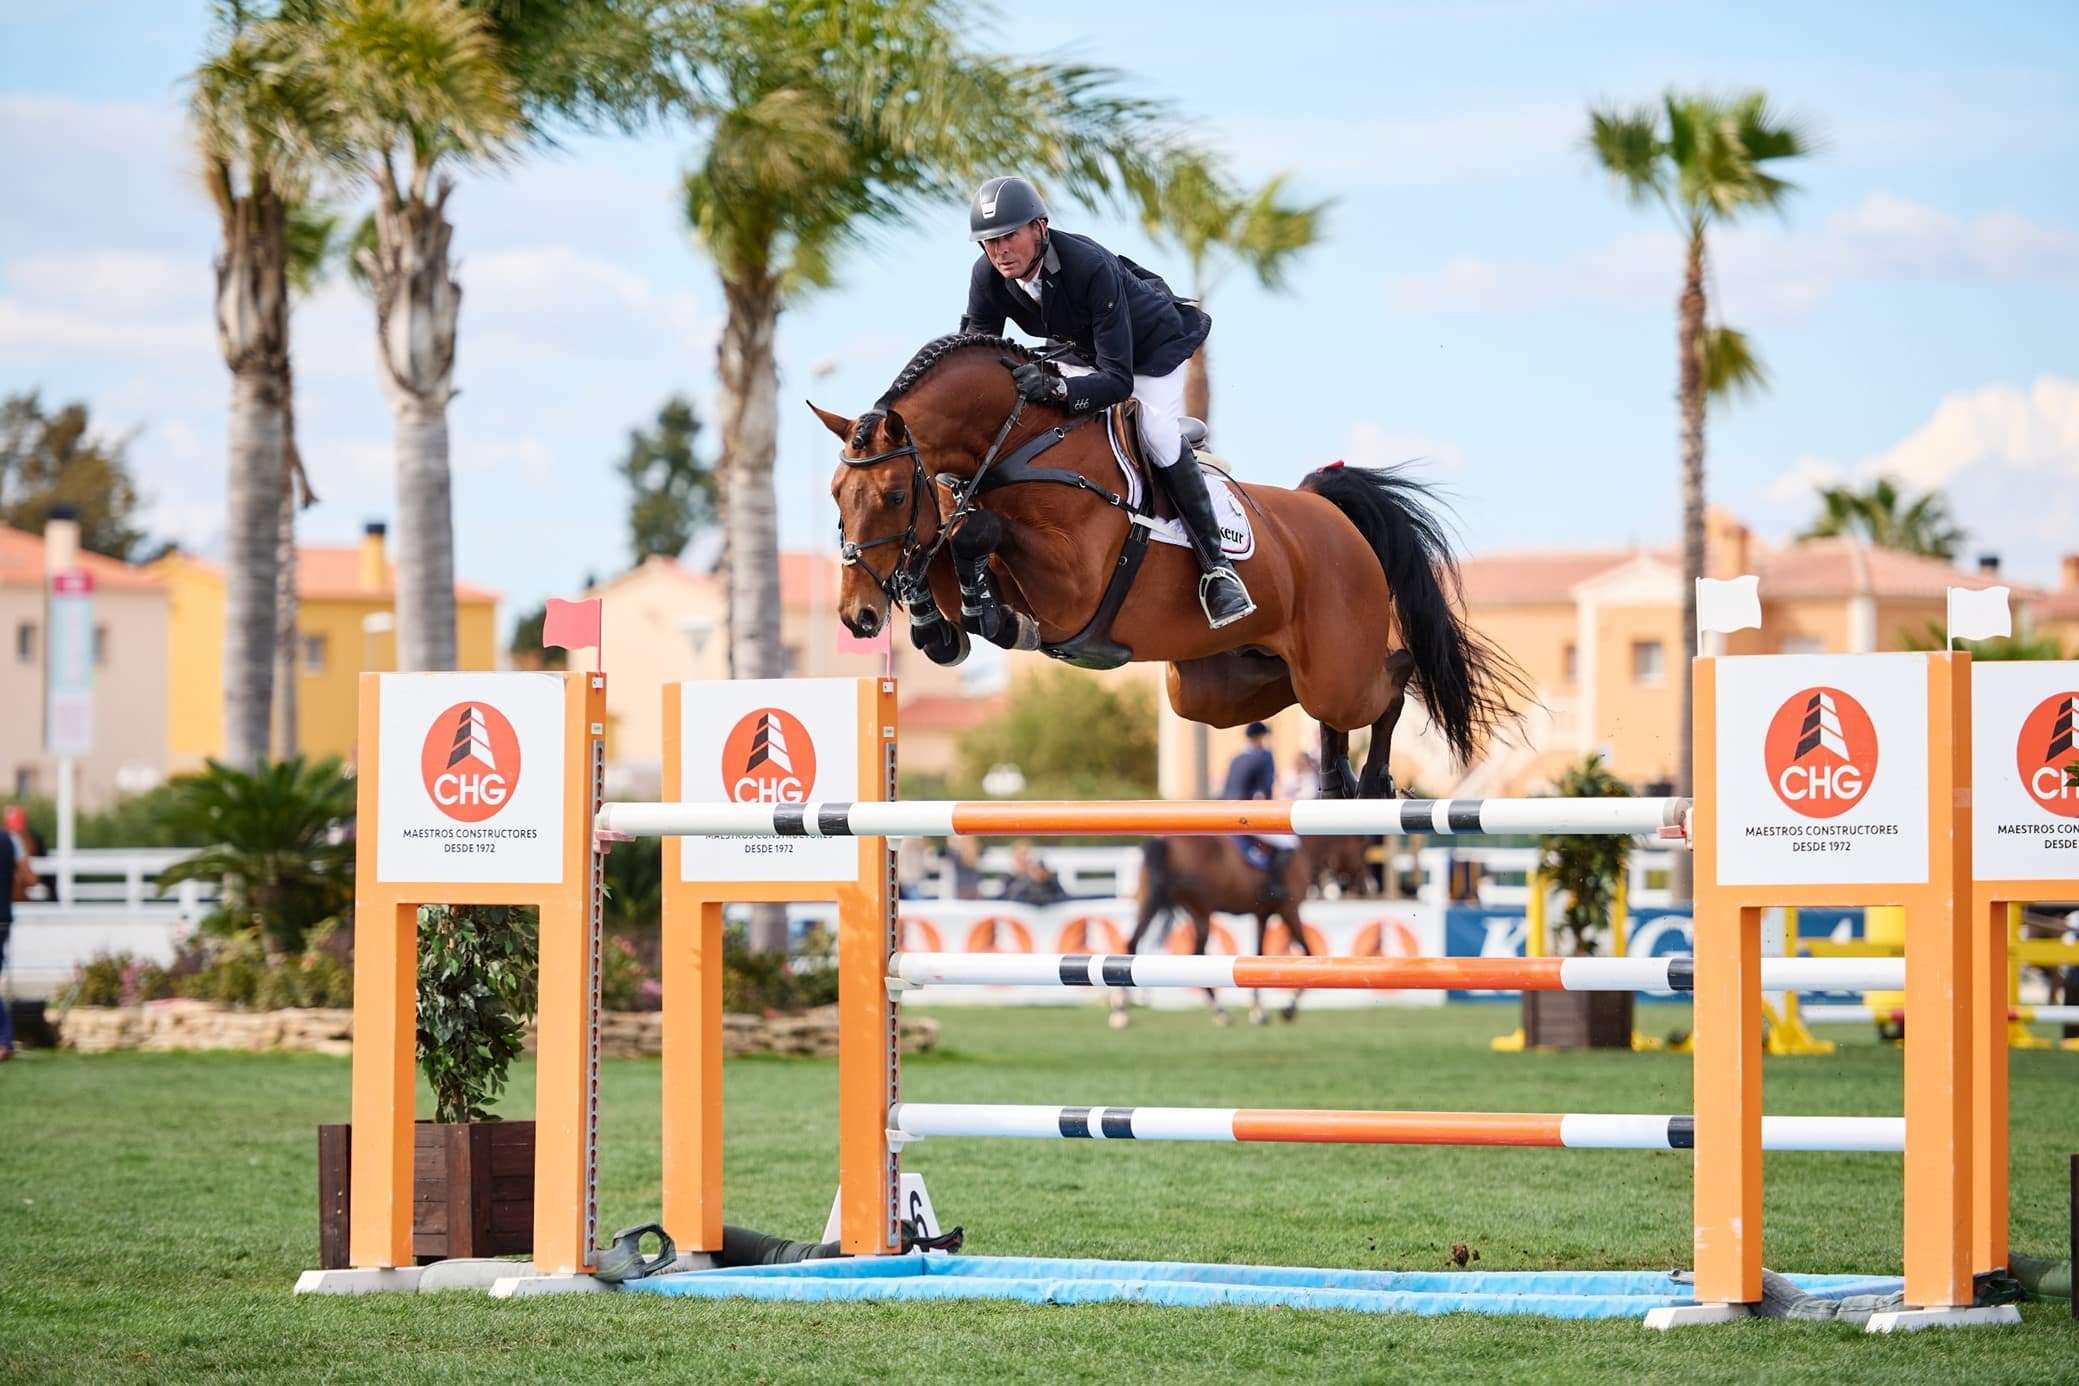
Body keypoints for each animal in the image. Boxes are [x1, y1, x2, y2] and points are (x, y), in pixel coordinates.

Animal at [814, 334, 1524, 800]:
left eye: (895, 495)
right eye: (836, 495)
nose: (856, 617)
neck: (1026, 442)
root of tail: (1332, 515)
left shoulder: (1073, 585)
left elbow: (972, 530)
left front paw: (994, 619)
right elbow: (944, 547)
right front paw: (936, 627)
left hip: (1336, 667)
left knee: (1392, 677)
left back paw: (1373, 779)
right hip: (1217, 687)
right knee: (1302, 700)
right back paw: (1334, 779)